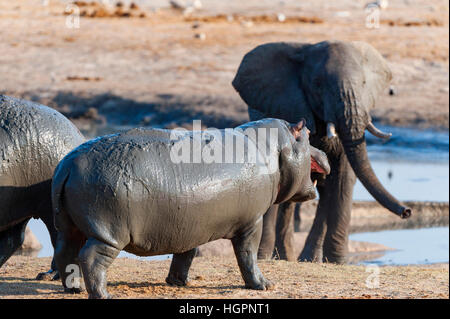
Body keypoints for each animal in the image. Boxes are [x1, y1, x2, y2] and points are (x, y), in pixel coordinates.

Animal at [0, 94, 85, 278]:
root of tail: (77, 136)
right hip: (17, 208)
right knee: (12, 239)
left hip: (49, 208)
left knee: (61, 239)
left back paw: (50, 275)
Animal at [51, 118, 330, 300]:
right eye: (307, 134)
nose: (326, 153)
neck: (274, 149)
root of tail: (68, 165)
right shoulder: (252, 222)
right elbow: (247, 255)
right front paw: (265, 285)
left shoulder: (189, 225)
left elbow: (186, 254)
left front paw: (178, 283)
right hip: (108, 233)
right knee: (91, 258)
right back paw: (104, 295)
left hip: (68, 226)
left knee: (65, 251)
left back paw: (73, 288)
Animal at [232, 40, 412, 264]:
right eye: (317, 84)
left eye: (363, 83)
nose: (407, 211)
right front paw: (263, 257)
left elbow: (343, 176)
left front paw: (338, 261)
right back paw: (280, 256)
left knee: (323, 189)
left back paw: (303, 258)